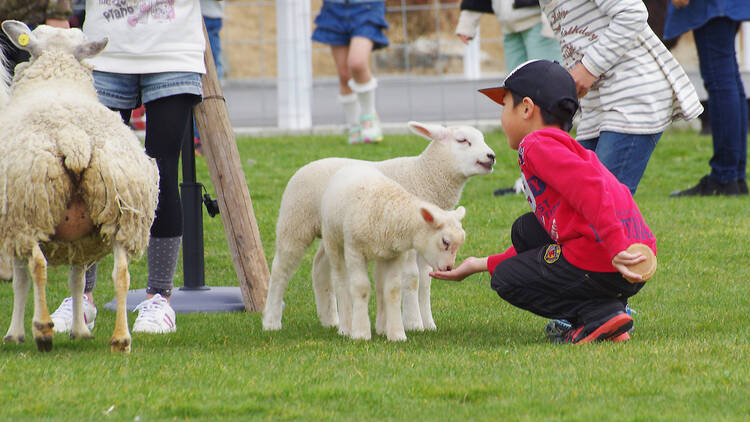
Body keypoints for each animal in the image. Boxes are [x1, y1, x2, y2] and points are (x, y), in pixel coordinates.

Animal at [0, 20, 160, 352]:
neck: (58, 74)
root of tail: (73, 139)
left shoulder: (13, 226)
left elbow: (21, 279)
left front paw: (14, 333)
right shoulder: (79, 240)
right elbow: (77, 279)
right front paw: (79, 330)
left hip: (33, 207)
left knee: (38, 267)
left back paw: (43, 330)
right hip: (120, 213)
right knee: (121, 273)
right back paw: (121, 339)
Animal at [322, 163, 464, 342]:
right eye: (445, 241)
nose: (448, 268)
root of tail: (354, 165)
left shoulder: (396, 255)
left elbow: (393, 290)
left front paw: (396, 334)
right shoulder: (354, 250)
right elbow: (361, 288)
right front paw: (360, 333)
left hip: (382, 255)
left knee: (379, 285)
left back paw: (382, 327)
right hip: (332, 240)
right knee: (341, 281)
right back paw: (346, 327)